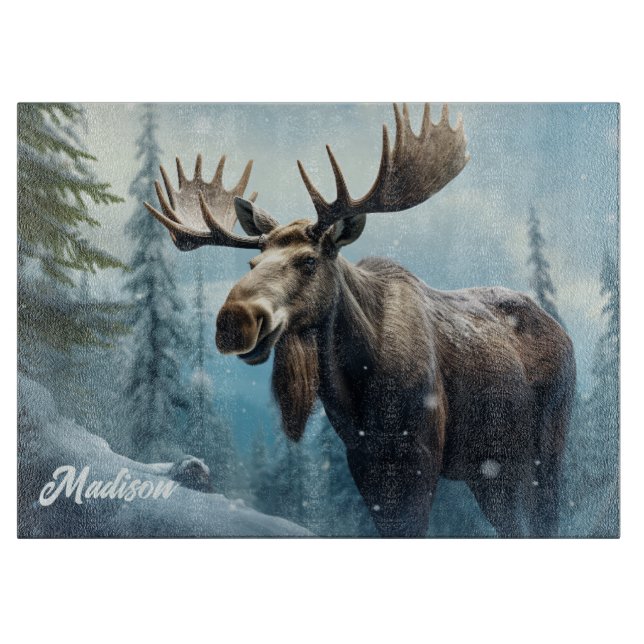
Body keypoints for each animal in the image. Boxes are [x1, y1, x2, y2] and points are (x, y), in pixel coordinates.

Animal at [144, 104, 575, 537]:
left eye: (308, 261)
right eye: (252, 263)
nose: (235, 320)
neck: (358, 383)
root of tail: (560, 329)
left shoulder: (419, 456)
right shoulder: (364, 462)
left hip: (546, 449)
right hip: (490, 469)